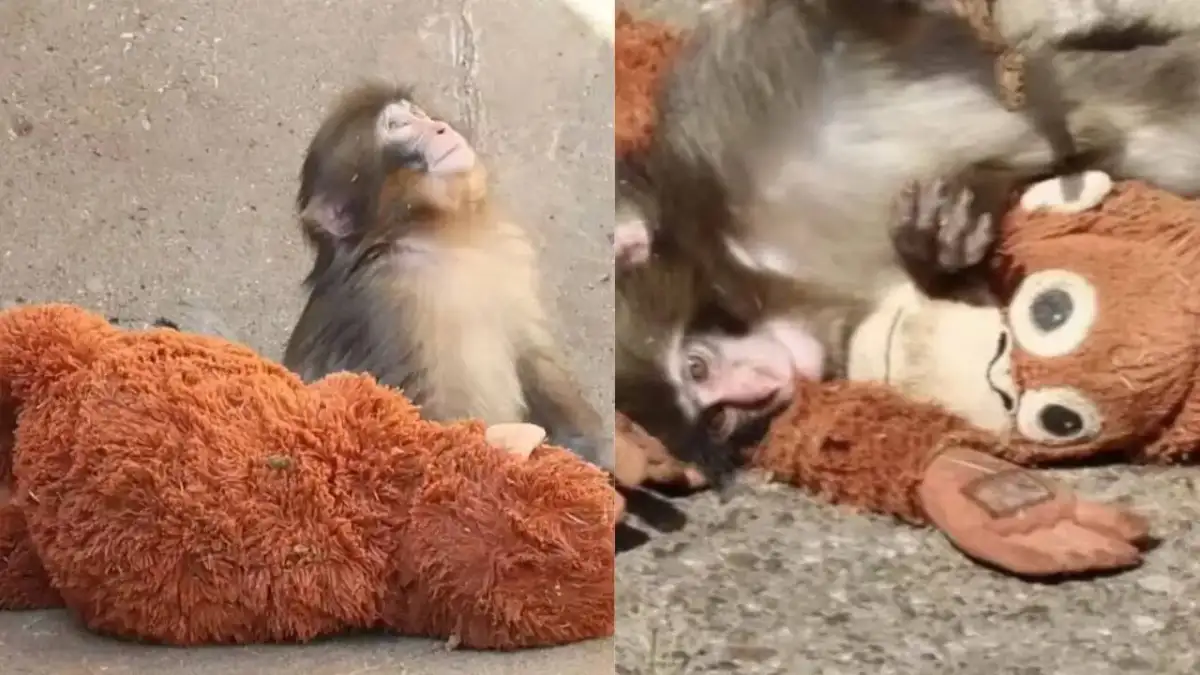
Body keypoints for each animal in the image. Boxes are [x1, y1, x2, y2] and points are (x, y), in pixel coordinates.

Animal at [281, 83, 607, 467]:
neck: (437, 234)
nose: (440, 127)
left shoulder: (507, 255)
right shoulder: (391, 302)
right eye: (398, 126)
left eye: (417, 114)